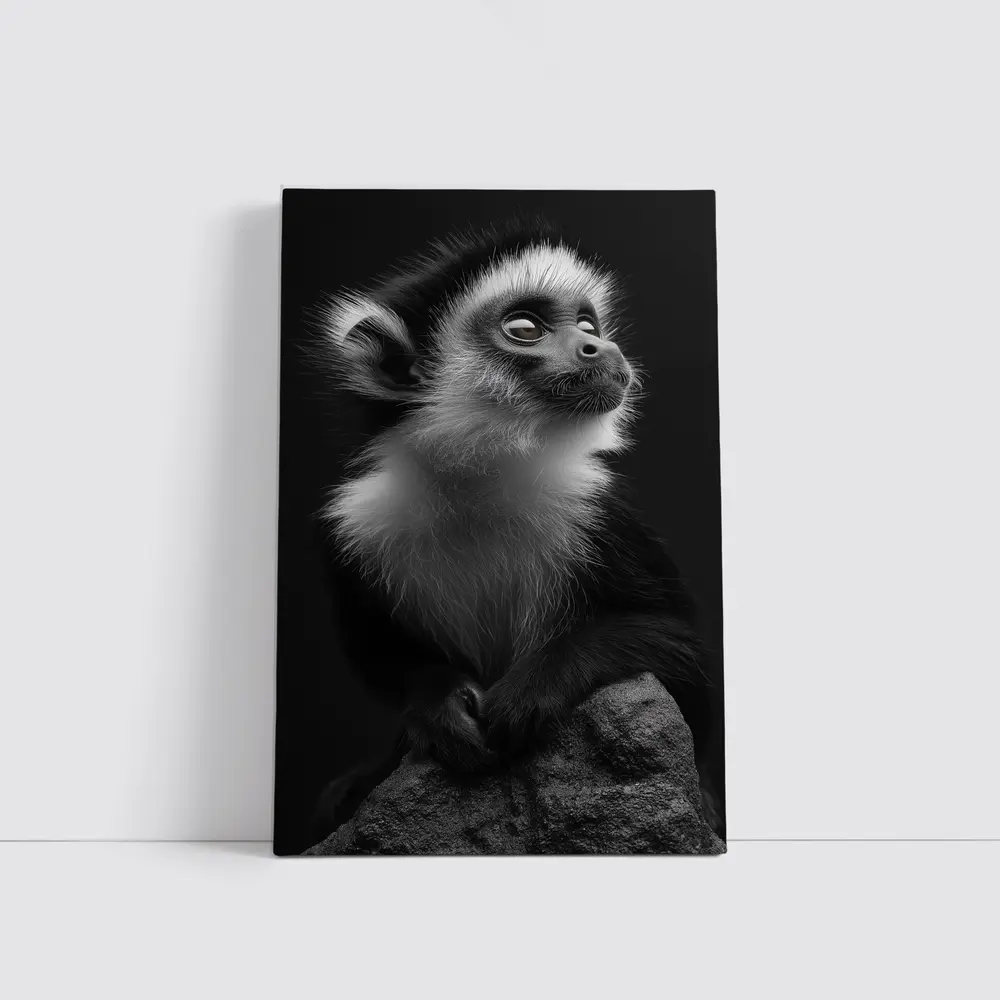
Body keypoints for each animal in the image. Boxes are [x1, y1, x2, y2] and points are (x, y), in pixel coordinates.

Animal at [312, 221, 724, 836]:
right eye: (525, 329)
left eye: (587, 326)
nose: (603, 347)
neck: (476, 478)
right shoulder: (355, 525)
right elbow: (382, 661)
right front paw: (437, 700)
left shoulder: (597, 511)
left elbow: (689, 665)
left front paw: (539, 683)